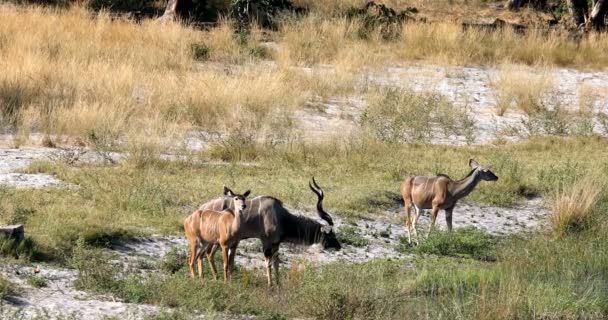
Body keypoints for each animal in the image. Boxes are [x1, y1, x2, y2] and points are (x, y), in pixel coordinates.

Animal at [200, 179, 342, 286]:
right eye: (331, 234)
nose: (339, 246)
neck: (281, 217)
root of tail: (203, 207)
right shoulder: (266, 241)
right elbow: (268, 263)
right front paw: (270, 284)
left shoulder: (276, 244)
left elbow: (276, 264)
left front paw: (278, 284)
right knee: (207, 254)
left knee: (207, 254)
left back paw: (213, 277)